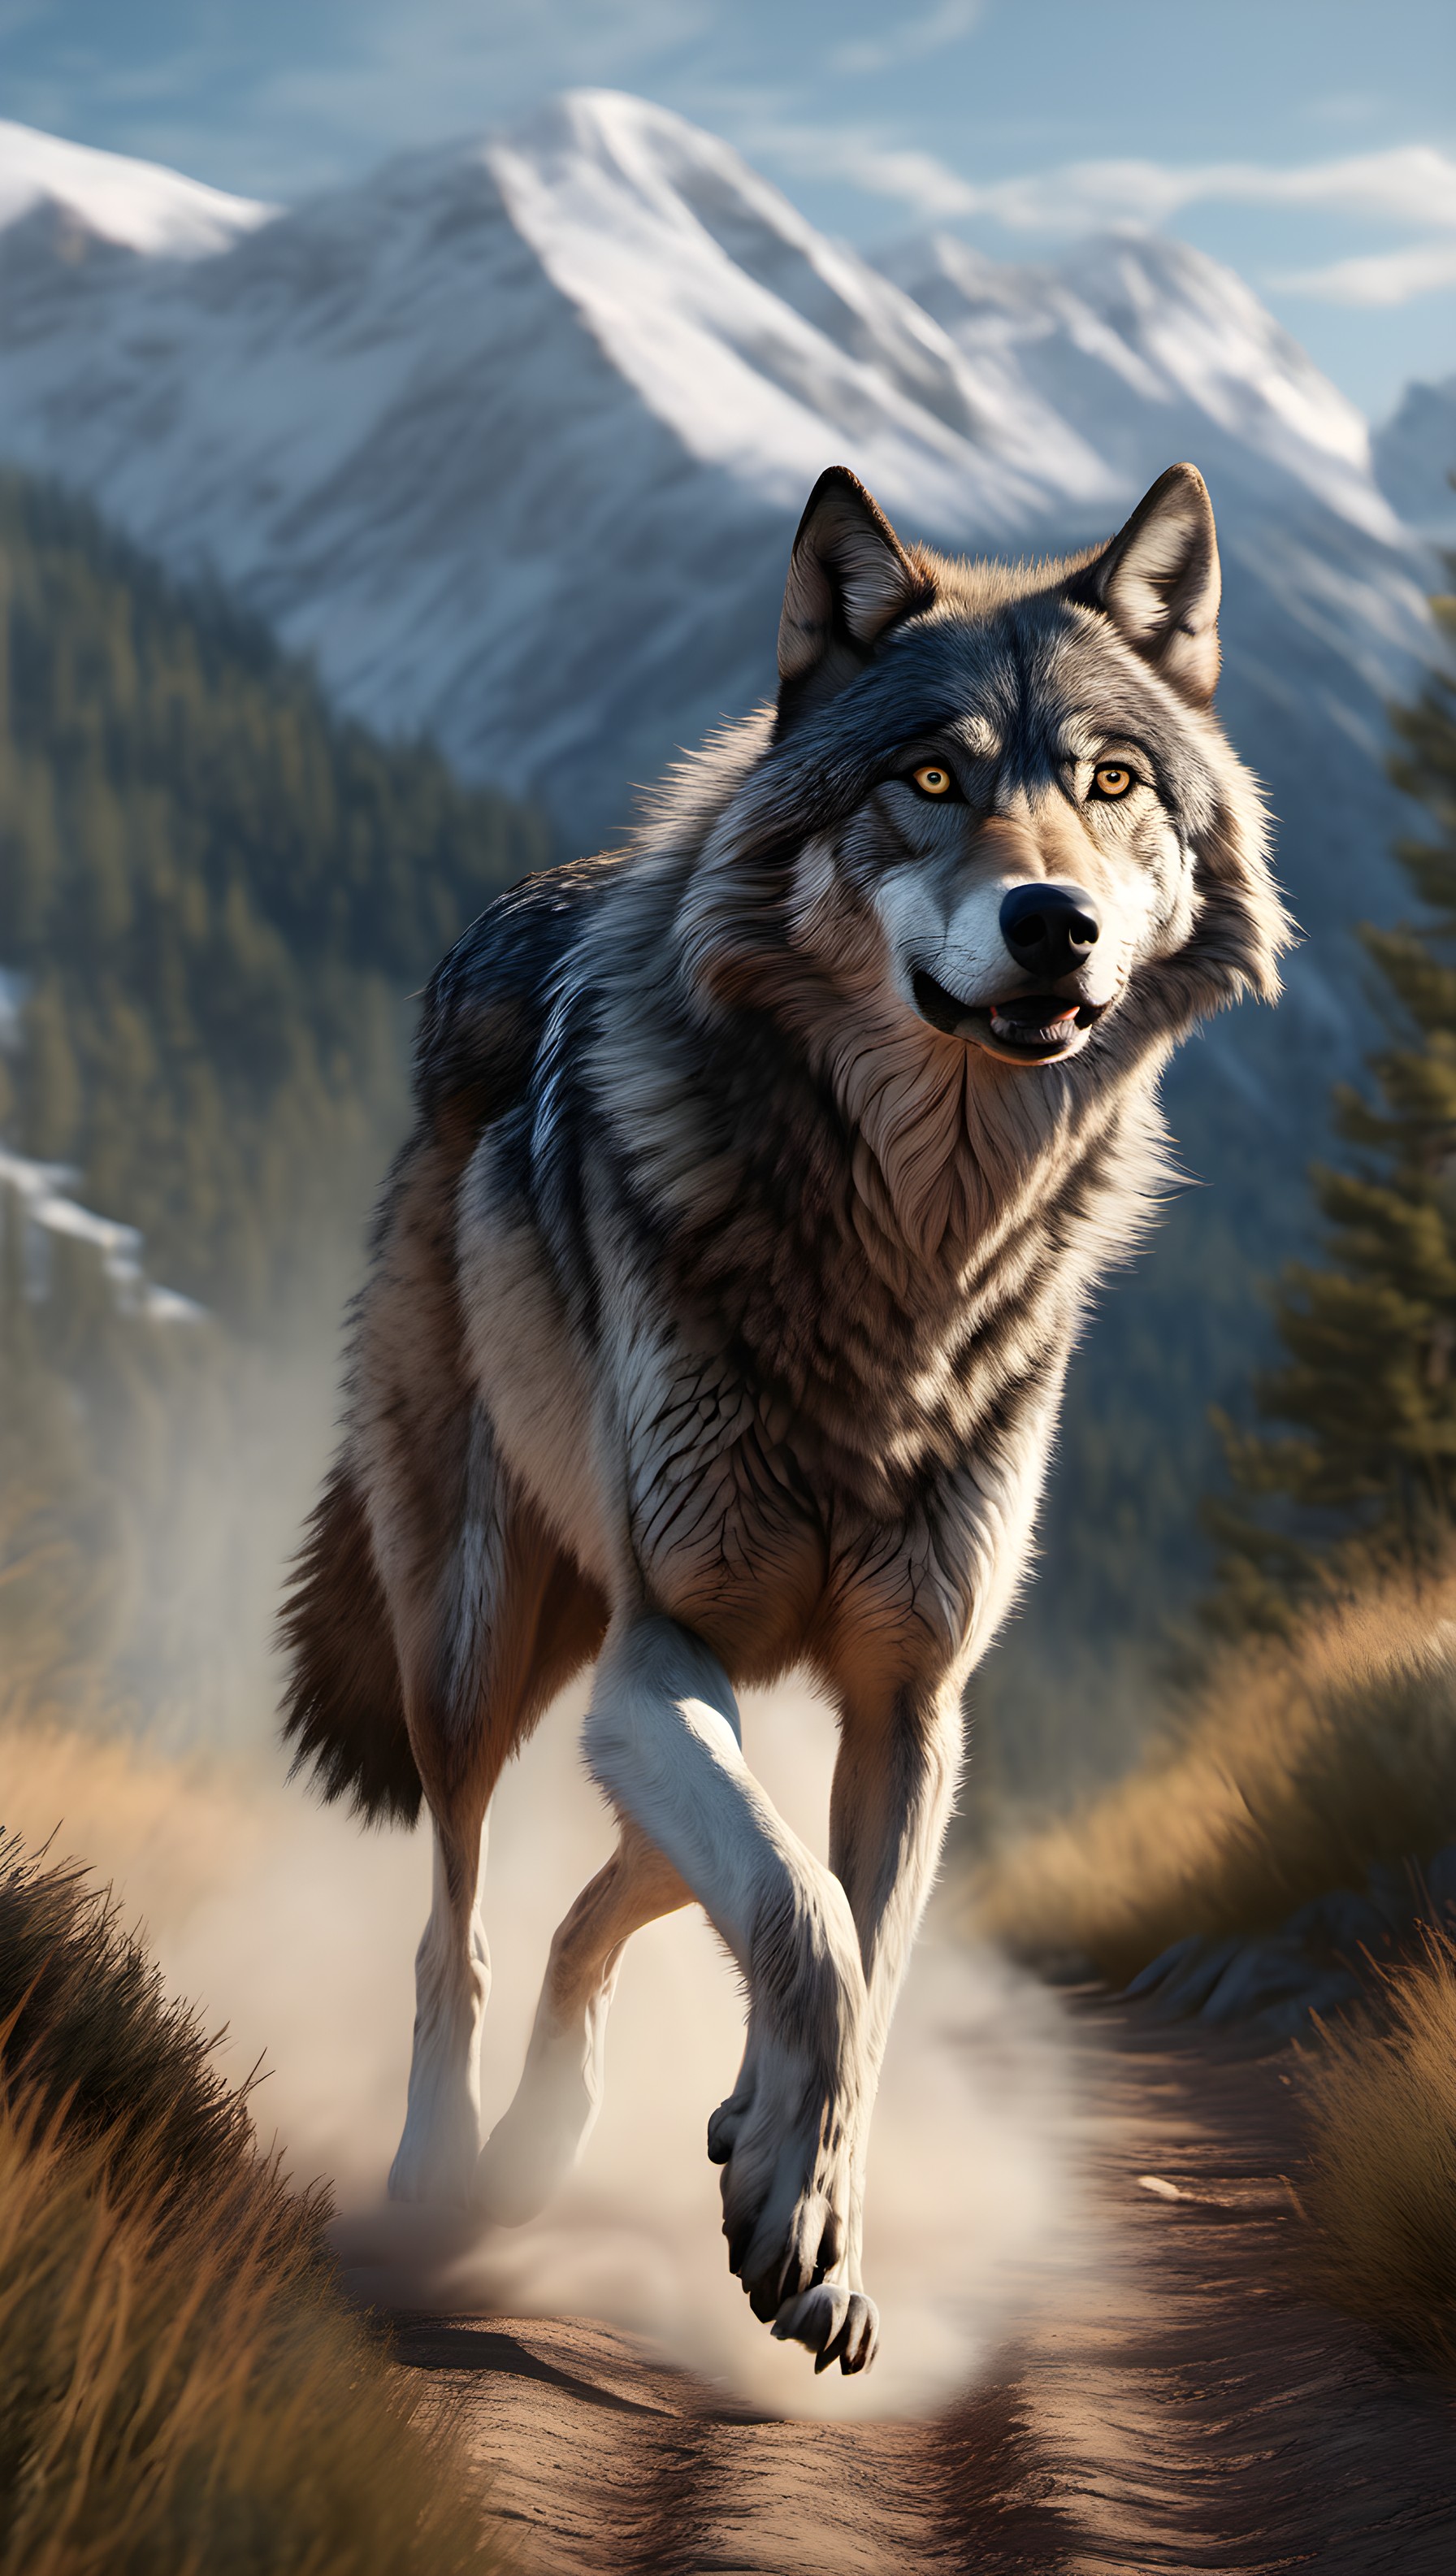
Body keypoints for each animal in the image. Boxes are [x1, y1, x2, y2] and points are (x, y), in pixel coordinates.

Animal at [281, 460, 1287, 2375]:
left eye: (1110, 783)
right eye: (931, 780)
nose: (1052, 923)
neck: (905, 1259)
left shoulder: (909, 1705)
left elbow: (849, 1962)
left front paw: (809, 2221)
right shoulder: (670, 1644)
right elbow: (808, 1935)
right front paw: (782, 2205)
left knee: (615, 1902)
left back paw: (580, 2142)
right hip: (486, 1638)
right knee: (463, 1920)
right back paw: (447, 2170)